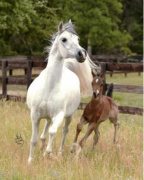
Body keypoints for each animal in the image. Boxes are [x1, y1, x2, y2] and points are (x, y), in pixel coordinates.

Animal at [26, 20, 99, 163]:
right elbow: (33, 139)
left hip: (69, 116)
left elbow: (53, 131)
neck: (49, 87)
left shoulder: (59, 115)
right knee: (46, 127)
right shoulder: (35, 115)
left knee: (65, 130)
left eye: (77, 39)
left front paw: (48, 153)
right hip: (48, 116)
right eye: (64, 39)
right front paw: (30, 161)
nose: (82, 54)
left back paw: (58, 152)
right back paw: (43, 146)